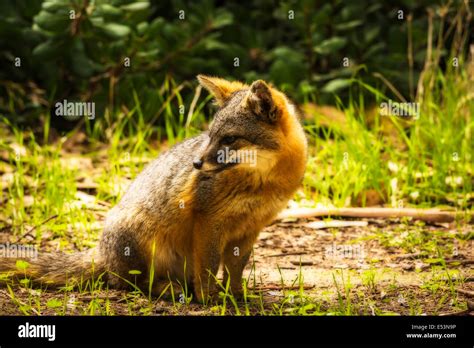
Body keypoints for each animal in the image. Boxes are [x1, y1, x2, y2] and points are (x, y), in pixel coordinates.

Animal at [0, 76, 308, 302]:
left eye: (230, 139)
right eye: (210, 136)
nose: (196, 164)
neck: (262, 183)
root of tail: (100, 252)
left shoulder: (250, 228)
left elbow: (235, 269)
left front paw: (235, 297)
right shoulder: (209, 222)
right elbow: (208, 268)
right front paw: (209, 299)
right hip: (141, 240)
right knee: (128, 283)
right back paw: (170, 290)